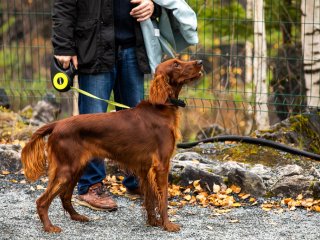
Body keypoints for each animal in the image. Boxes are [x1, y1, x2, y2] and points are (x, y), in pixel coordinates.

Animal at [21, 58, 202, 232]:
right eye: (176, 64)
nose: (200, 62)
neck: (161, 107)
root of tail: (57, 124)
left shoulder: (146, 169)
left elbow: (150, 199)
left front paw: (153, 222)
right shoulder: (162, 165)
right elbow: (163, 198)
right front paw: (168, 225)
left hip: (76, 168)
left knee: (64, 196)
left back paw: (77, 216)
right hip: (66, 169)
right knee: (42, 201)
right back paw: (49, 227)